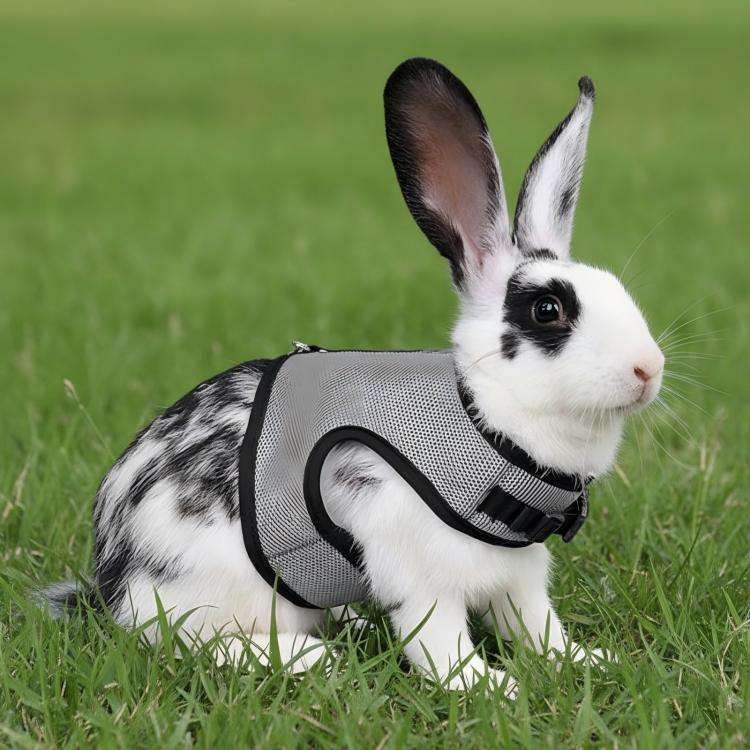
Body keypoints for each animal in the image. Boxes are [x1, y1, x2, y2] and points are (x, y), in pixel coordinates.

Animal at [43, 58, 664, 694]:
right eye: (547, 310)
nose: (649, 368)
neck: (481, 418)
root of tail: (116, 581)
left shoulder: (519, 575)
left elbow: (537, 627)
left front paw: (587, 661)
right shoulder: (412, 560)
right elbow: (439, 639)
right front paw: (488, 688)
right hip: (217, 589)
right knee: (196, 641)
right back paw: (312, 657)